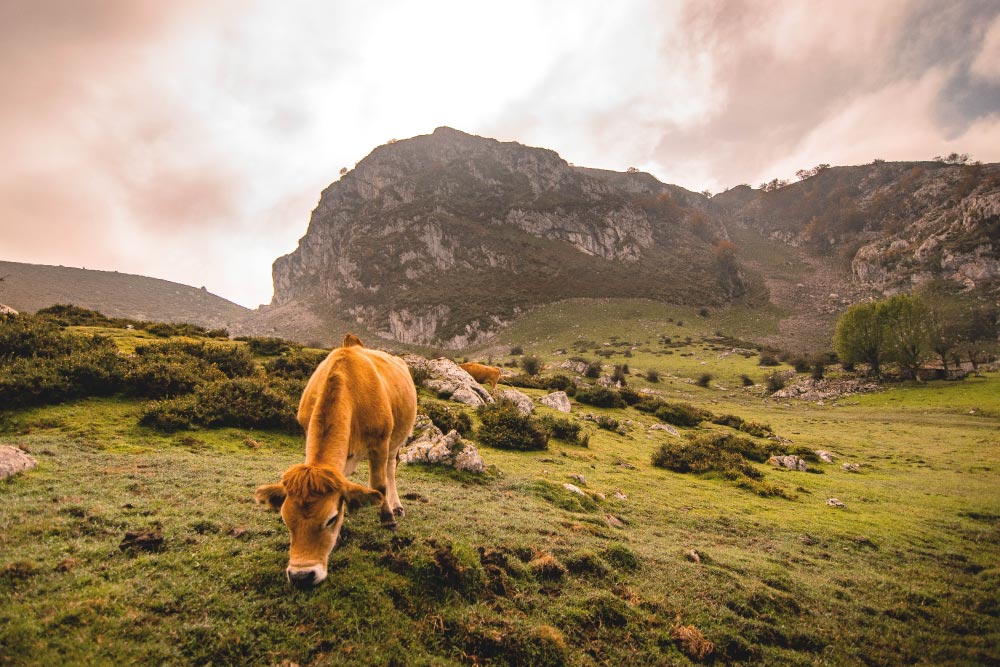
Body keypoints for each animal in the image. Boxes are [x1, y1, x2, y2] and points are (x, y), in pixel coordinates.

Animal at [258, 336, 418, 588]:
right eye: (285, 519)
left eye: (330, 519)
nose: (302, 576)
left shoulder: (380, 443)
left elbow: (380, 484)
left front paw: (388, 519)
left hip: (397, 438)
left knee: (390, 469)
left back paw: (396, 506)